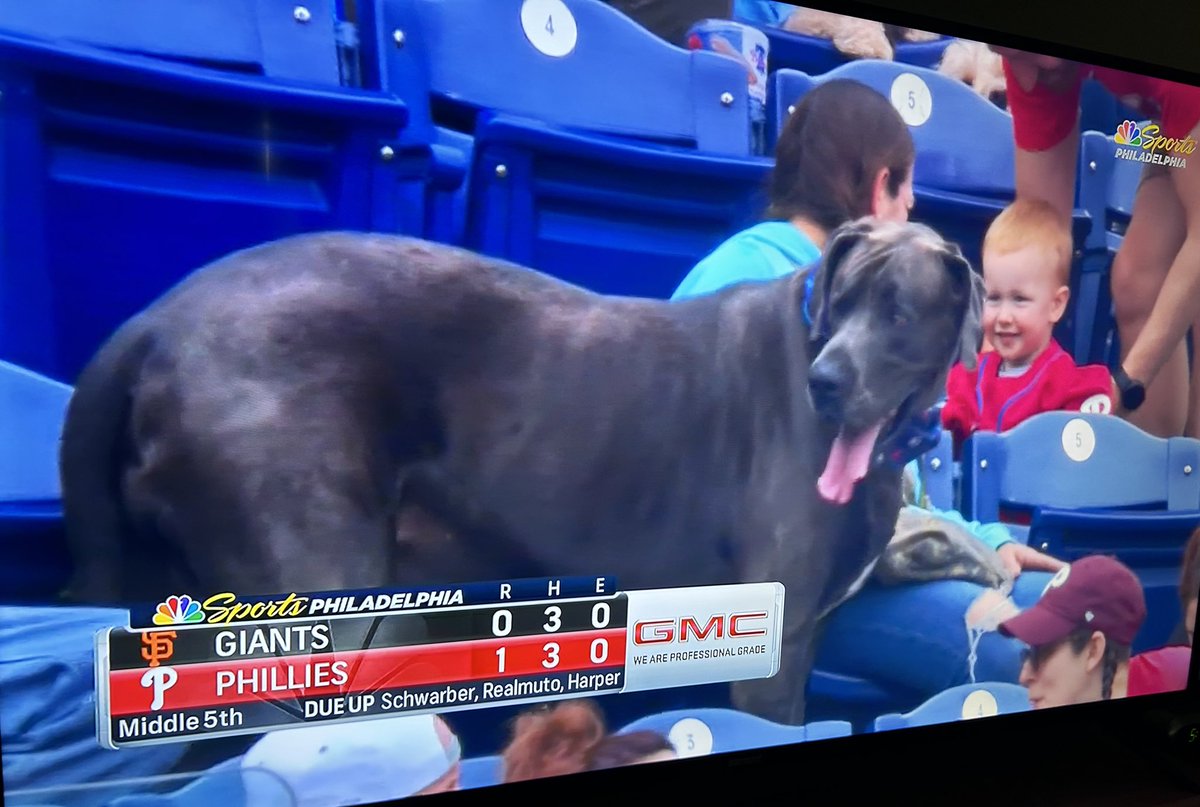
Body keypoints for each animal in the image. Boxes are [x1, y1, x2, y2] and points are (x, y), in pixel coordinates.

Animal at [58, 216, 984, 725]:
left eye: (898, 313)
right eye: (841, 303)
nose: (823, 381)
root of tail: (151, 324)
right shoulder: (775, 646)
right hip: (331, 600)